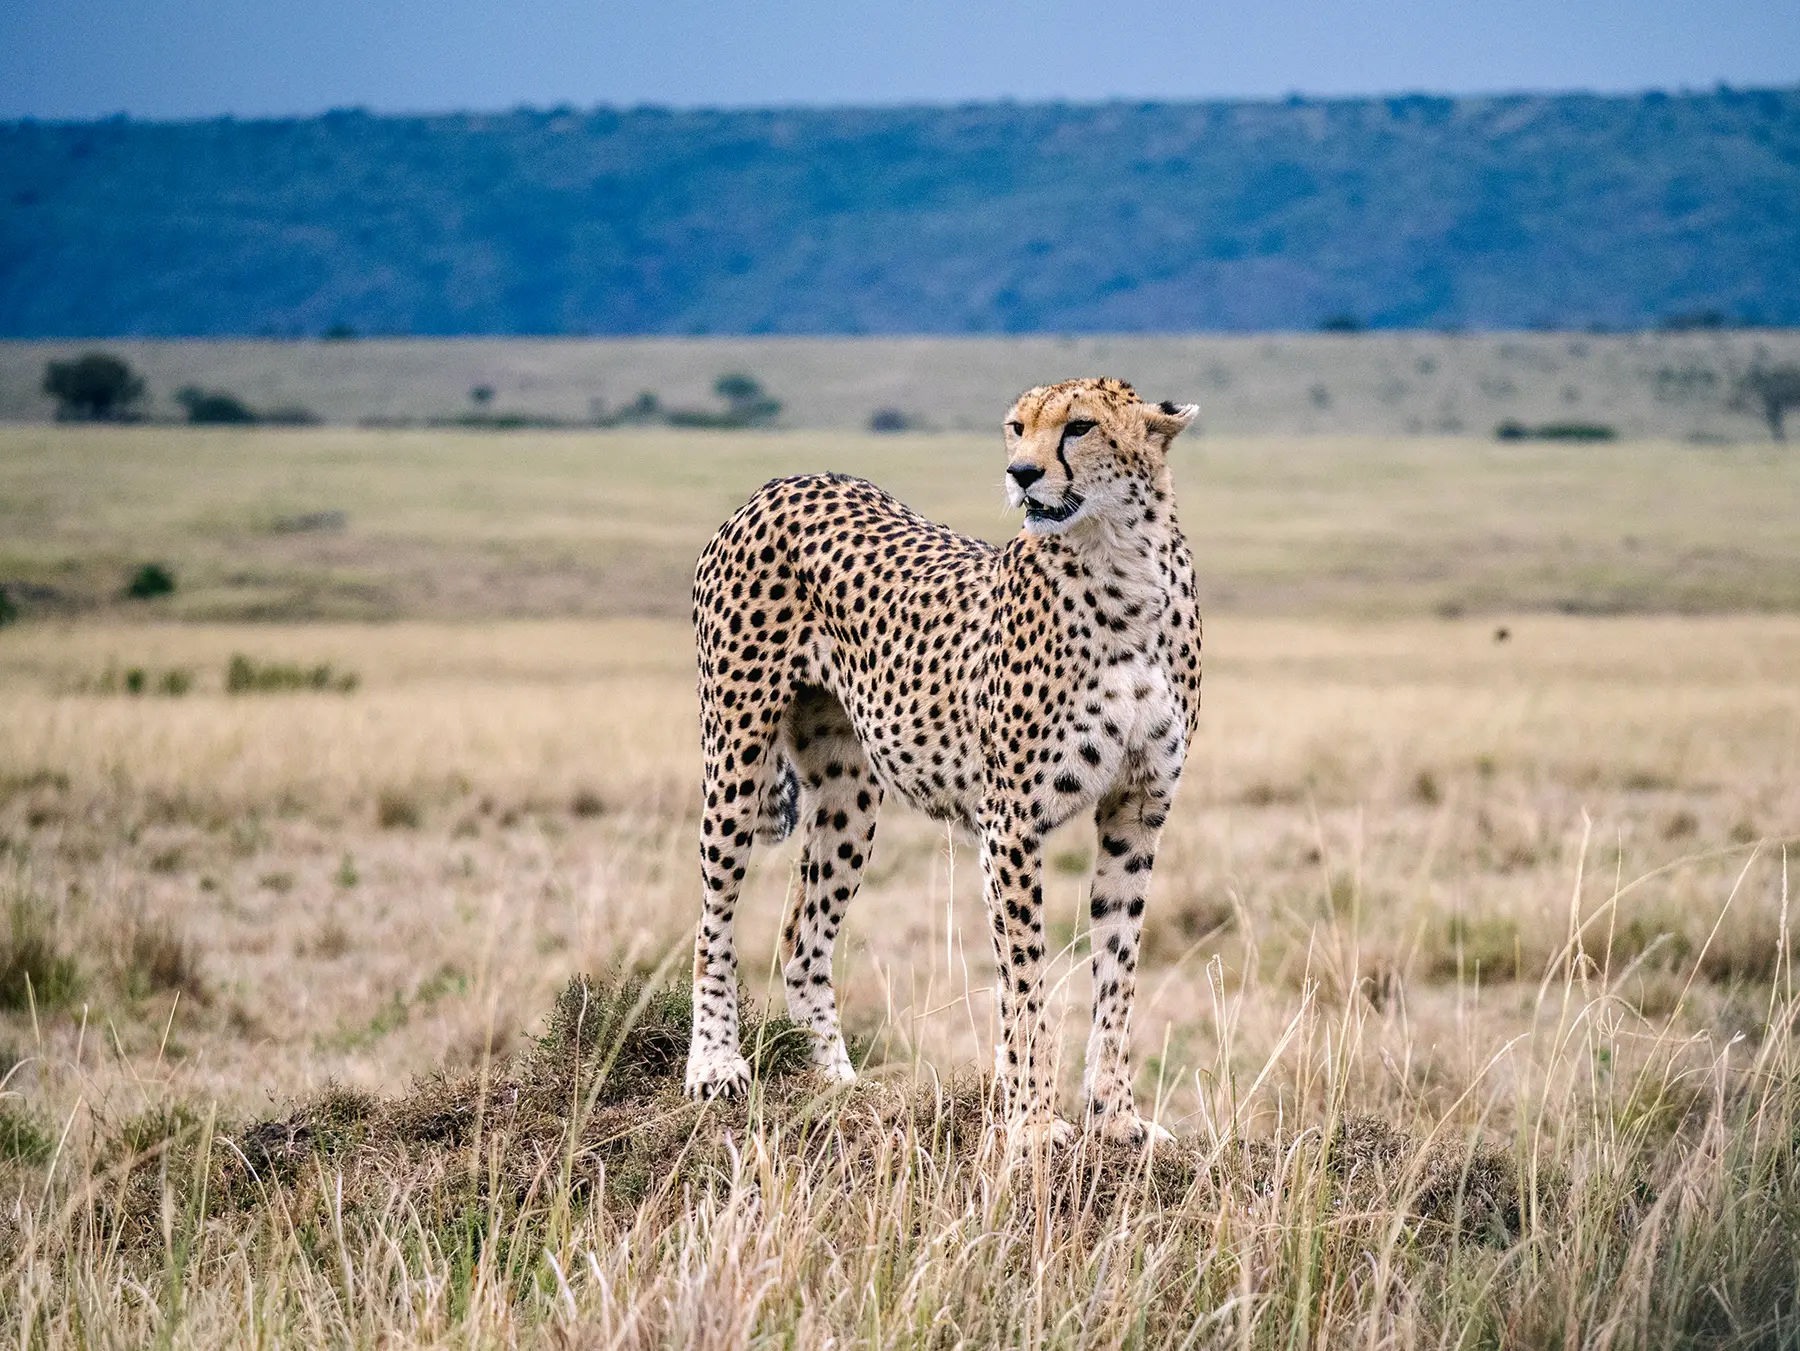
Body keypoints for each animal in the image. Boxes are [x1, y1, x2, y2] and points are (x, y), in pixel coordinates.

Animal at [683, 376, 1201, 1148]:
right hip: (737, 750)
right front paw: (1033, 1122)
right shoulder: (1012, 820)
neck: (1121, 565)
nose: (1022, 473)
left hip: (849, 791)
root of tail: (786, 480)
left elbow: (1118, 969)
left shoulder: (1137, 809)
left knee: (802, 935)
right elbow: (1025, 980)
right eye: (1016, 427)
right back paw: (715, 1063)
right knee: (714, 916)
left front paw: (1117, 1118)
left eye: (1079, 427)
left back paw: (836, 1082)